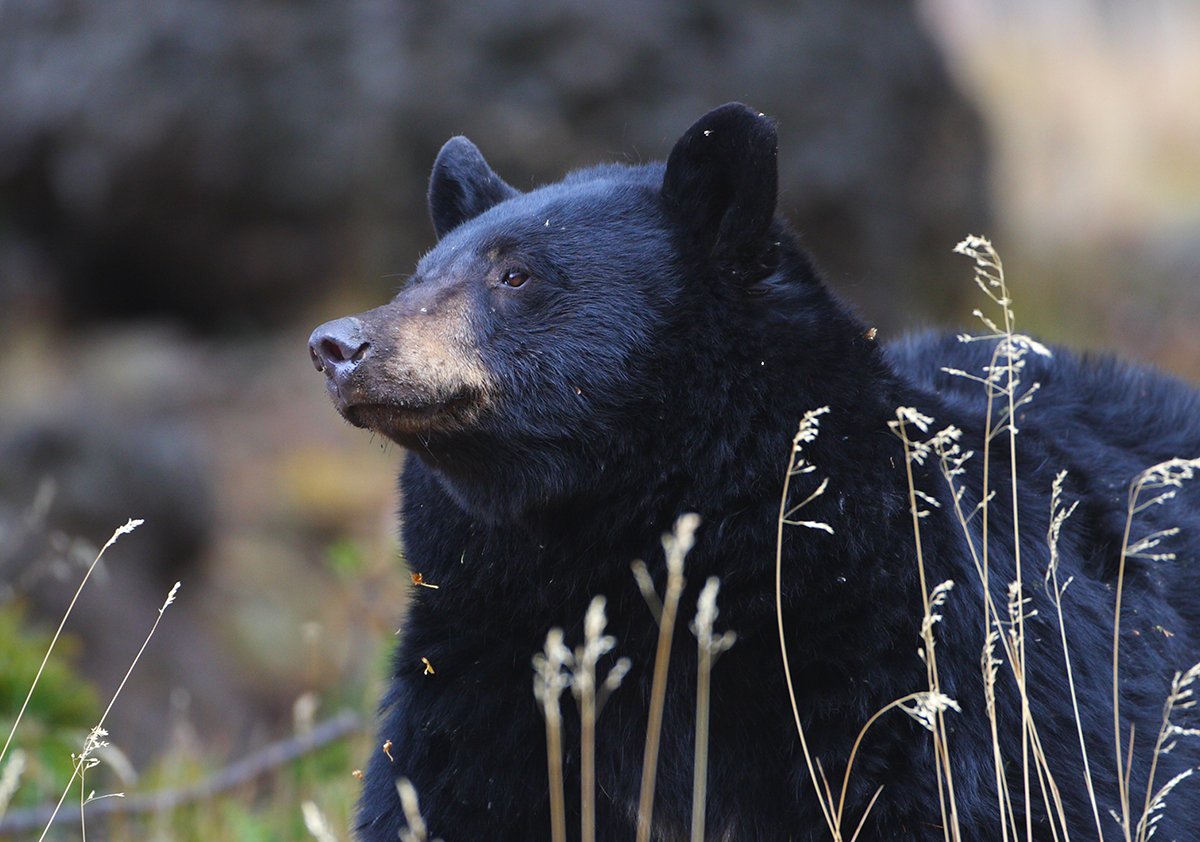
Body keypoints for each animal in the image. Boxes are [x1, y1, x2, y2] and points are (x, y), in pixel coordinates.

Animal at [308, 103, 1200, 840]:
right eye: (419, 273)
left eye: (515, 273)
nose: (337, 344)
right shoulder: (486, 659)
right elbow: (441, 795)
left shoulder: (910, 658)